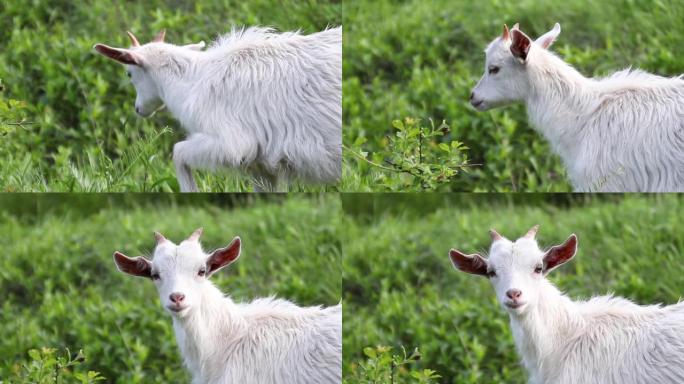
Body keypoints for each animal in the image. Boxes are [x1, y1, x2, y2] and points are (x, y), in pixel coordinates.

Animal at [95, 26, 340, 191]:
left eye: (129, 74)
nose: (138, 109)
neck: (194, 81)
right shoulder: (263, 167)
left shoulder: (233, 145)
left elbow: (178, 153)